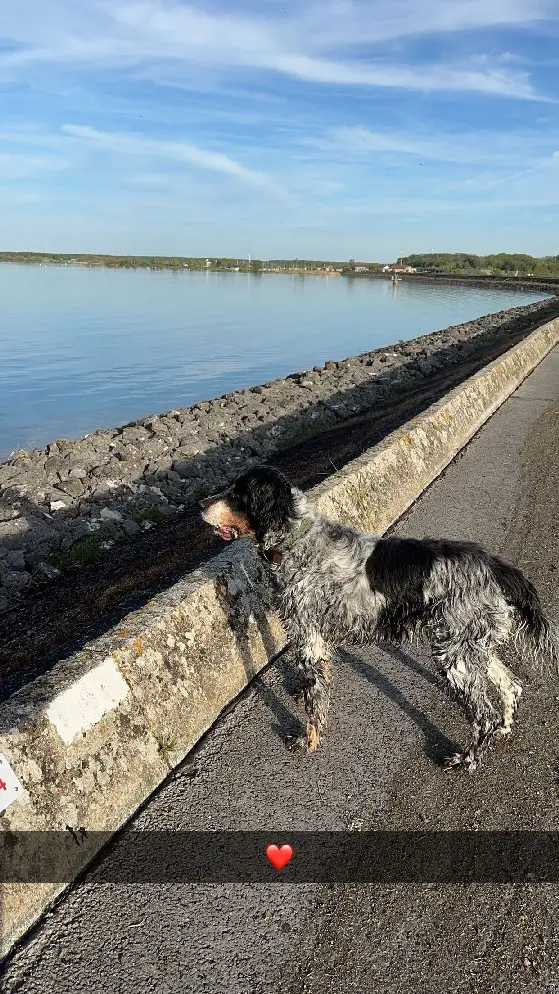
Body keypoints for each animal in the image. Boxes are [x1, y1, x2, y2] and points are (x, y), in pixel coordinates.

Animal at [200, 464, 556, 768]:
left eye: (237, 493)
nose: (201, 504)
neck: (297, 540)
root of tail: (495, 566)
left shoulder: (309, 638)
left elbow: (314, 704)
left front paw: (307, 742)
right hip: (472, 645)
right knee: (511, 687)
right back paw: (504, 730)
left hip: (454, 655)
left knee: (485, 714)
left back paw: (466, 759)